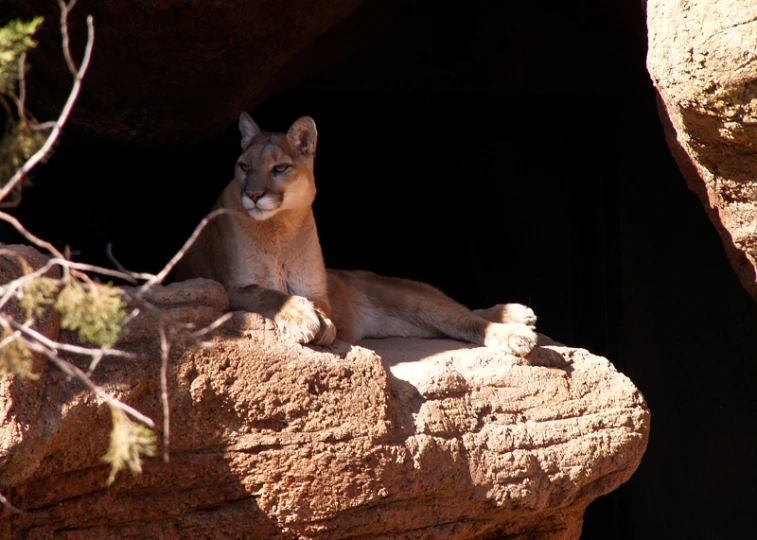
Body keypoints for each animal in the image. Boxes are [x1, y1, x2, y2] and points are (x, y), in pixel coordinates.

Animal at [177, 112, 536, 356]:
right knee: (459, 322)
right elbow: (272, 295)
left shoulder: (316, 290)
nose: (252, 195)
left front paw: (320, 324)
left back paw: (518, 325)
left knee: (465, 317)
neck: (280, 228)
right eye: (243, 167)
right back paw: (519, 321)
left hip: (408, 298)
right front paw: (306, 320)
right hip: (408, 323)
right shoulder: (231, 287)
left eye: (279, 168)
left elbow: (307, 304)